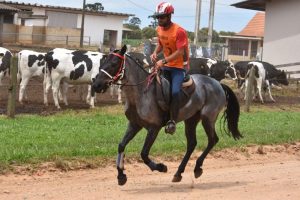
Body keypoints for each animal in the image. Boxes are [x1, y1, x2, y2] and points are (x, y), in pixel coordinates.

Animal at [91, 45, 241, 186]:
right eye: (102, 62)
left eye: (114, 63)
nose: (96, 85)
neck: (141, 92)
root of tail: (218, 84)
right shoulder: (134, 125)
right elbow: (121, 145)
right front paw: (121, 175)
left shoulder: (154, 128)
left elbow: (144, 154)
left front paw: (160, 167)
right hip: (191, 120)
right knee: (192, 144)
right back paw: (179, 173)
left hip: (208, 118)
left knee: (213, 140)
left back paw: (197, 167)